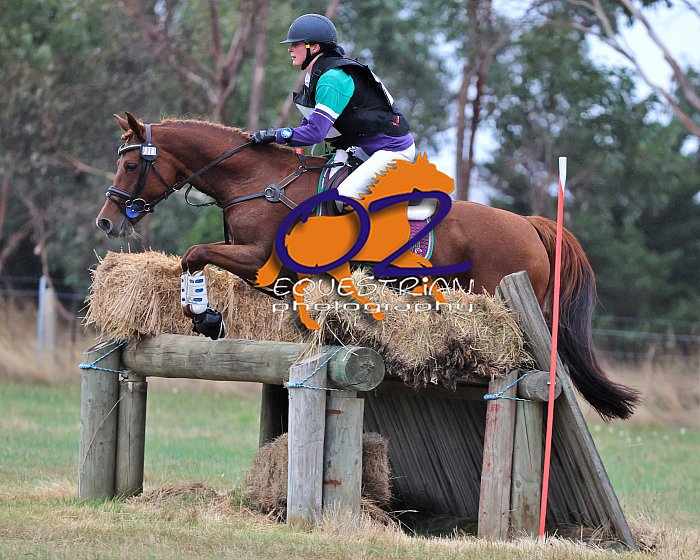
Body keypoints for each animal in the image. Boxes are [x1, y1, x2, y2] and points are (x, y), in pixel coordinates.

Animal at [96, 112, 639, 420]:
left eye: (130, 164)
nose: (106, 221)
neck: (258, 181)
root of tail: (530, 224)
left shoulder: (261, 262)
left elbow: (196, 254)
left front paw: (206, 317)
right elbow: (200, 258)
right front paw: (205, 315)